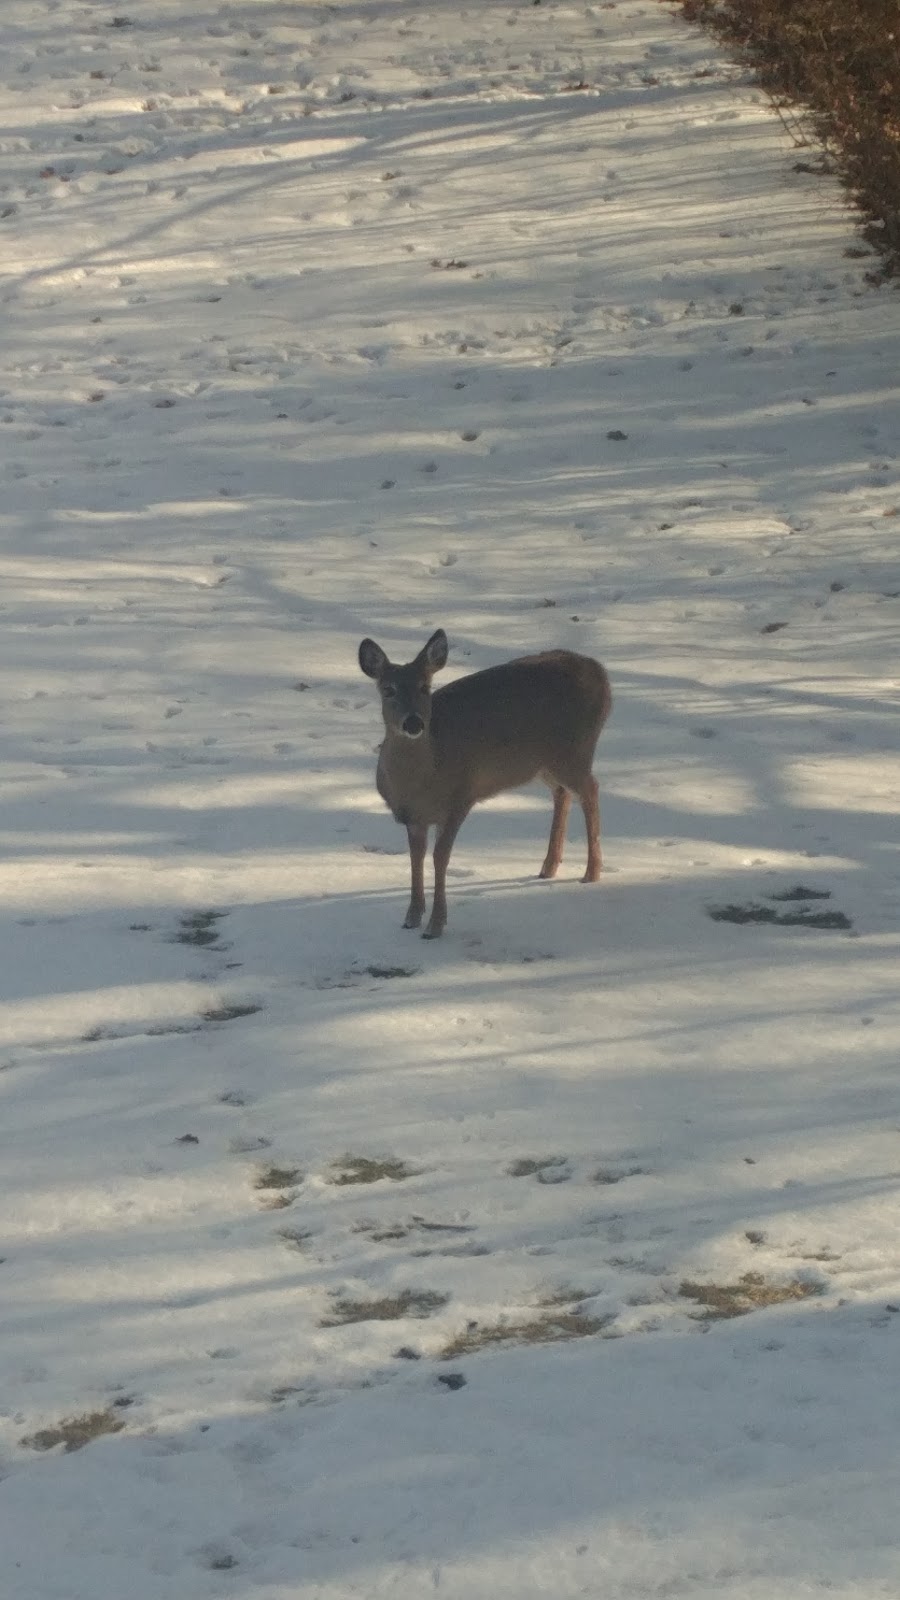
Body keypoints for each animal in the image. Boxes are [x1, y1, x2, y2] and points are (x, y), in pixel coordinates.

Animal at [357, 627, 608, 934]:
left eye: (425, 687)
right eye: (388, 690)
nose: (413, 723)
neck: (422, 781)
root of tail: (601, 673)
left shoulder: (460, 799)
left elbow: (440, 857)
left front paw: (435, 925)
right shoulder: (414, 817)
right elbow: (416, 857)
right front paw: (412, 917)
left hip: (575, 751)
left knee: (590, 789)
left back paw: (591, 872)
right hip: (544, 764)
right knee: (563, 793)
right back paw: (548, 867)